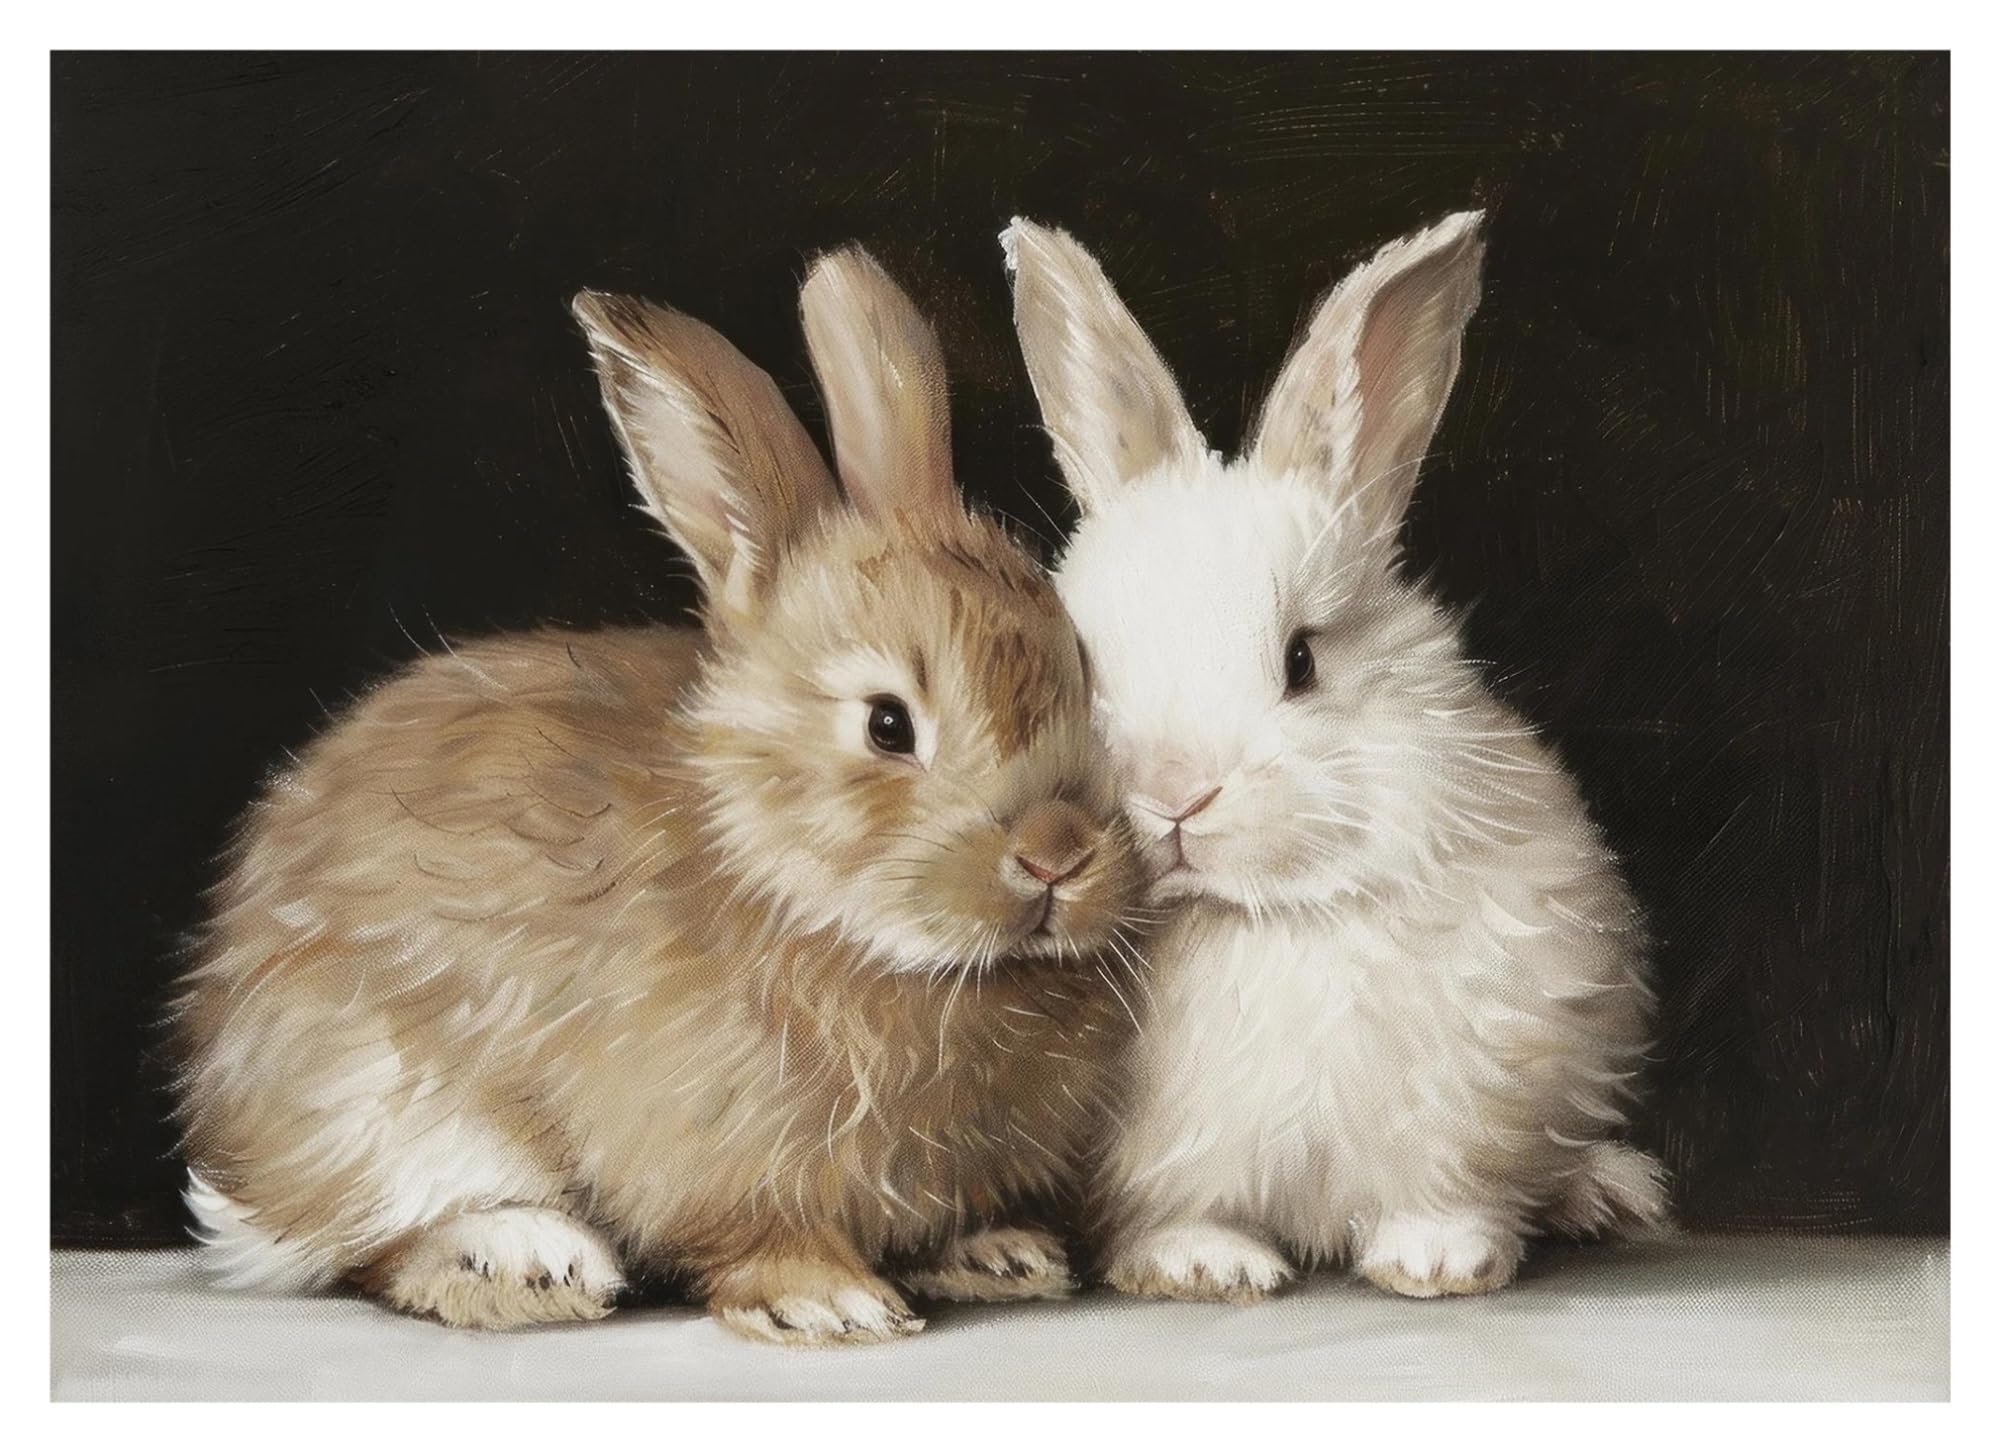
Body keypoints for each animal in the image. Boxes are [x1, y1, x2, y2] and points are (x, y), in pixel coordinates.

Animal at [169, 245, 1148, 1345]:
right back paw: (526, 1262)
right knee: (370, 1243)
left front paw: (997, 1254)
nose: (1058, 852)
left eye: (1079, 672)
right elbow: (755, 1236)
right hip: (375, 1100)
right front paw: (830, 1303)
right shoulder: (715, 1153)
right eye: (888, 725)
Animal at [999, 210, 1667, 1302]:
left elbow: (1449, 1191)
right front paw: (1205, 1266)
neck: (1252, 917)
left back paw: (1606, 1196)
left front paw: (1438, 1261)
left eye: (1301, 660)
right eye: (1082, 664)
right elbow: (1170, 1214)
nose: (1173, 795)